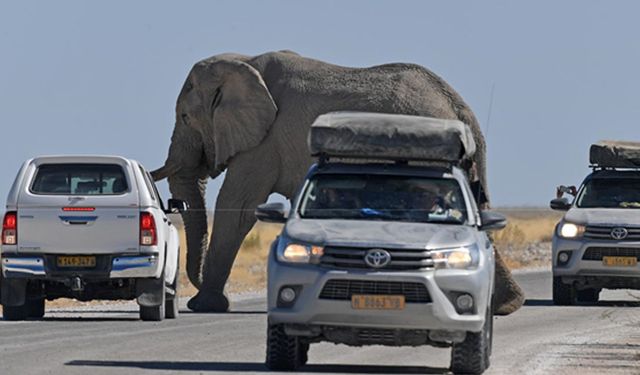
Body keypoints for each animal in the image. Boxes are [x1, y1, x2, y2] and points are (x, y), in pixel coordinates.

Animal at [152, 50, 524, 314]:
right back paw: (506, 306)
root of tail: (460, 108)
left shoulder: (265, 142)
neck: (245, 61)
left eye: (185, 117)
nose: (190, 287)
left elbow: (238, 207)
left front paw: (204, 306)